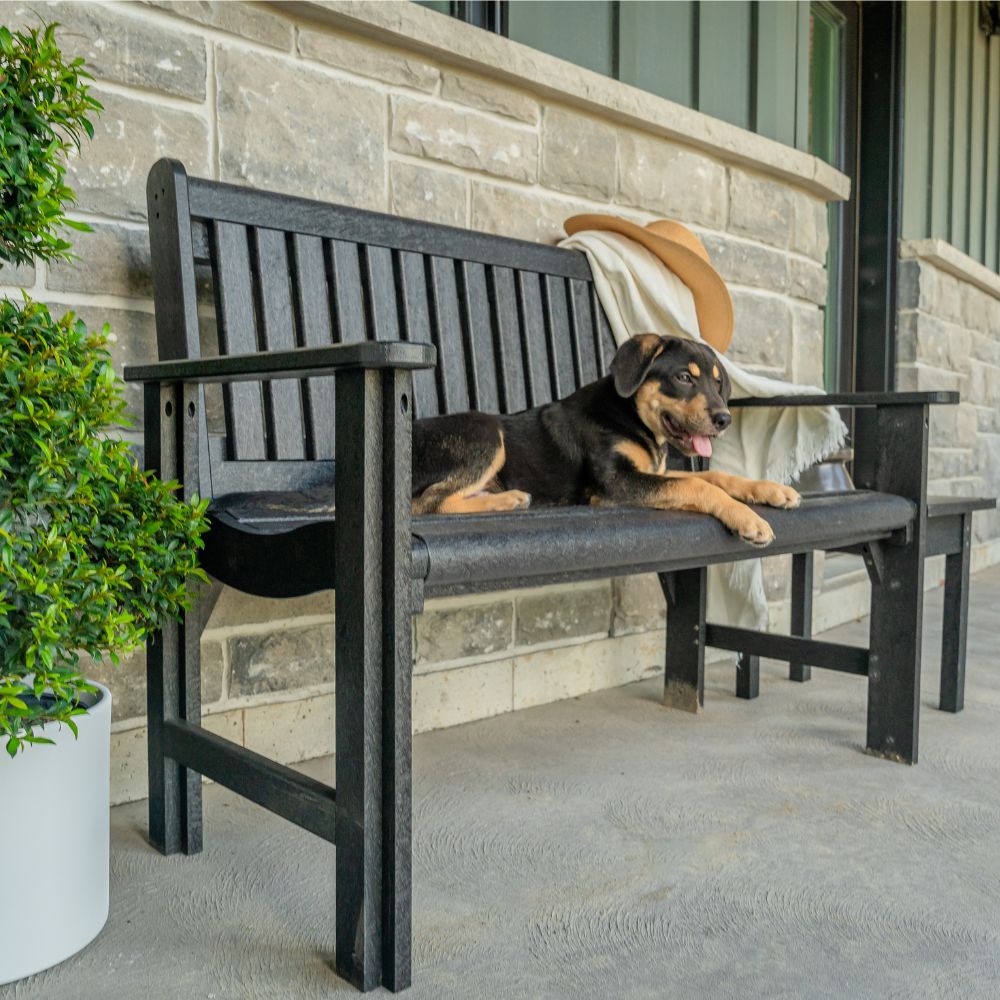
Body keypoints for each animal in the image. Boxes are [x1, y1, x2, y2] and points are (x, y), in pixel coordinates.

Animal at [410, 334, 800, 548]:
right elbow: (698, 486)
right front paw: (749, 520)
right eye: (684, 378)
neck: (630, 416)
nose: (724, 419)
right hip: (486, 430)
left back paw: (507, 500)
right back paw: (505, 501)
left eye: (718, 383)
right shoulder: (616, 483)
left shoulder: (654, 472)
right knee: (427, 503)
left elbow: (714, 477)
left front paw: (772, 490)